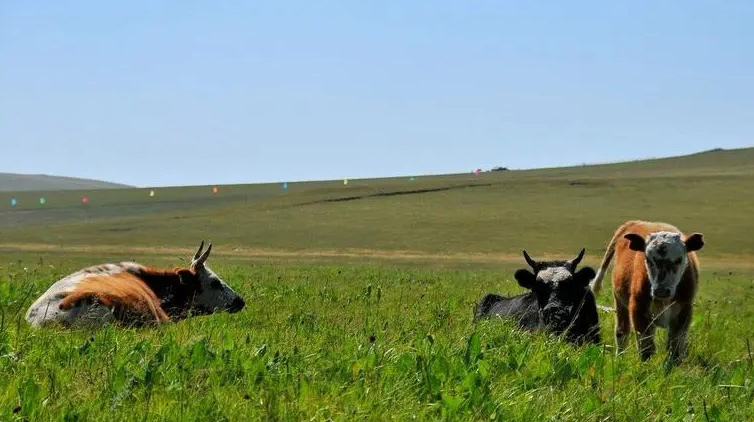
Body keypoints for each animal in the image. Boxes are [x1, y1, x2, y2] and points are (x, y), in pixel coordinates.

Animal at [588, 221, 704, 362]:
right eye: (648, 259)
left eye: (679, 260)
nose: (661, 291)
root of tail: (636, 222)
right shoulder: (639, 310)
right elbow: (646, 347)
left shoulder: (684, 312)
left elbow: (674, 347)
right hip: (619, 302)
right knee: (621, 332)